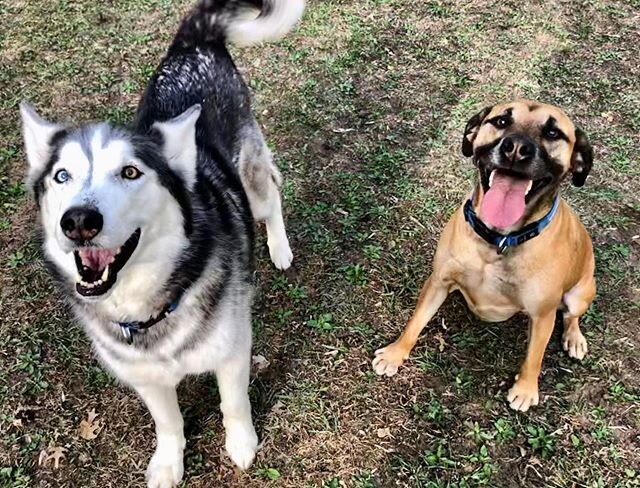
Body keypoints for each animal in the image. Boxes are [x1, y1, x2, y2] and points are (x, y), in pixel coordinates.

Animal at [372, 99, 596, 412]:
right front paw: (395, 354)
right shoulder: (438, 282)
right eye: (501, 121)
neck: (498, 239)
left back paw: (574, 338)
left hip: (579, 294)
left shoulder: (542, 315)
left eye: (553, 133)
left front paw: (525, 390)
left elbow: (534, 357)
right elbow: (415, 323)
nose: (516, 148)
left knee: (571, 316)